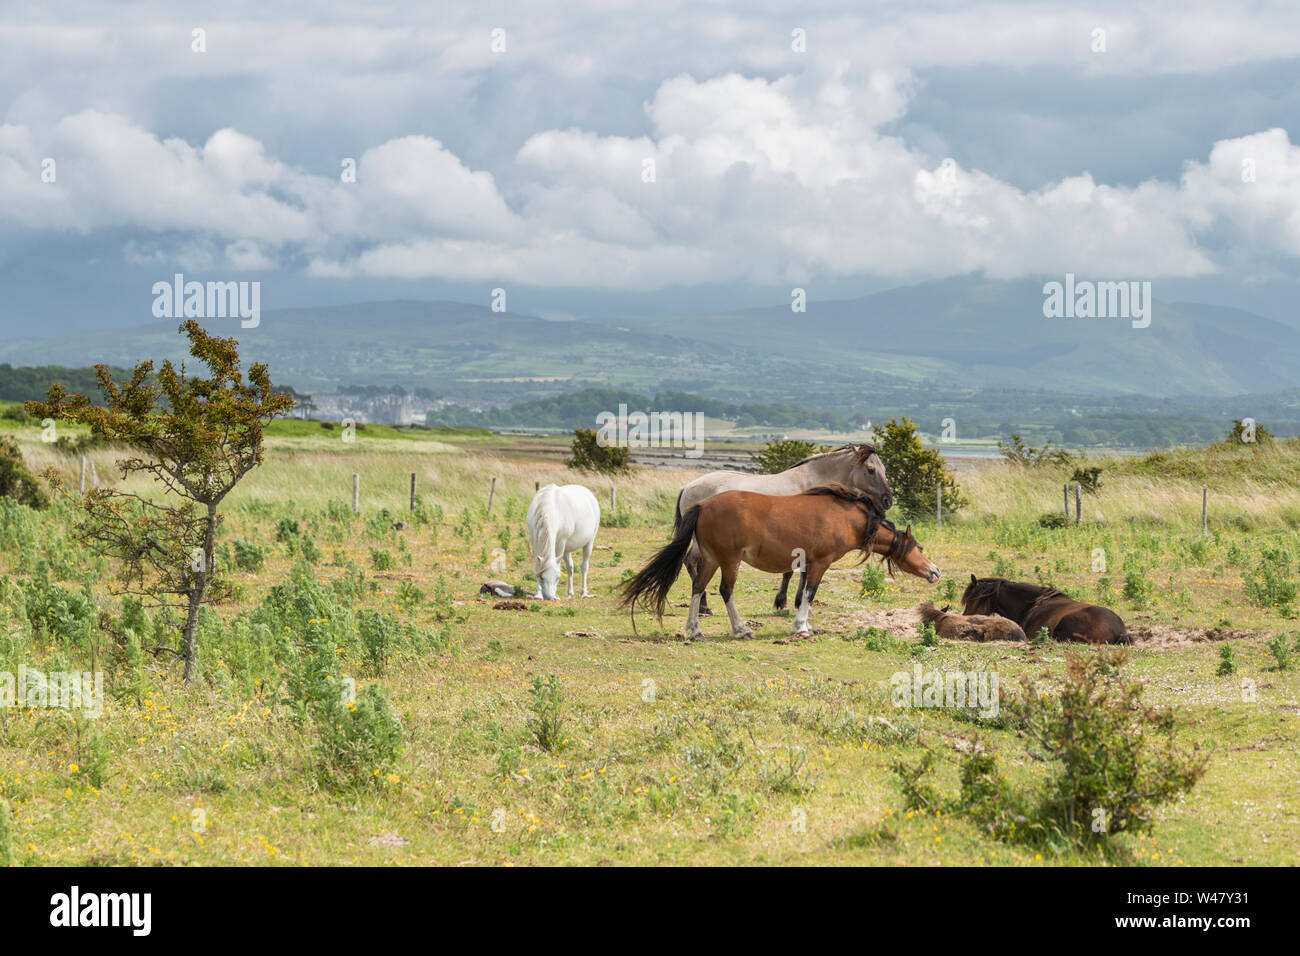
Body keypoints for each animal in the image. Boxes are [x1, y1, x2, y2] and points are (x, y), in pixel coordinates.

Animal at [621, 486, 941, 642]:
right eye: (921, 547)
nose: (935, 571)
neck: (847, 518)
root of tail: (702, 505)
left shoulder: (809, 563)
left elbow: (804, 592)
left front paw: (803, 623)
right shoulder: (821, 562)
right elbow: (810, 593)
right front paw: (801, 627)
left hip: (711, 559)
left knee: (698, 588)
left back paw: (695, 631)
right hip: (729, 560)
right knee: (725, 591)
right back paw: (741, 630)